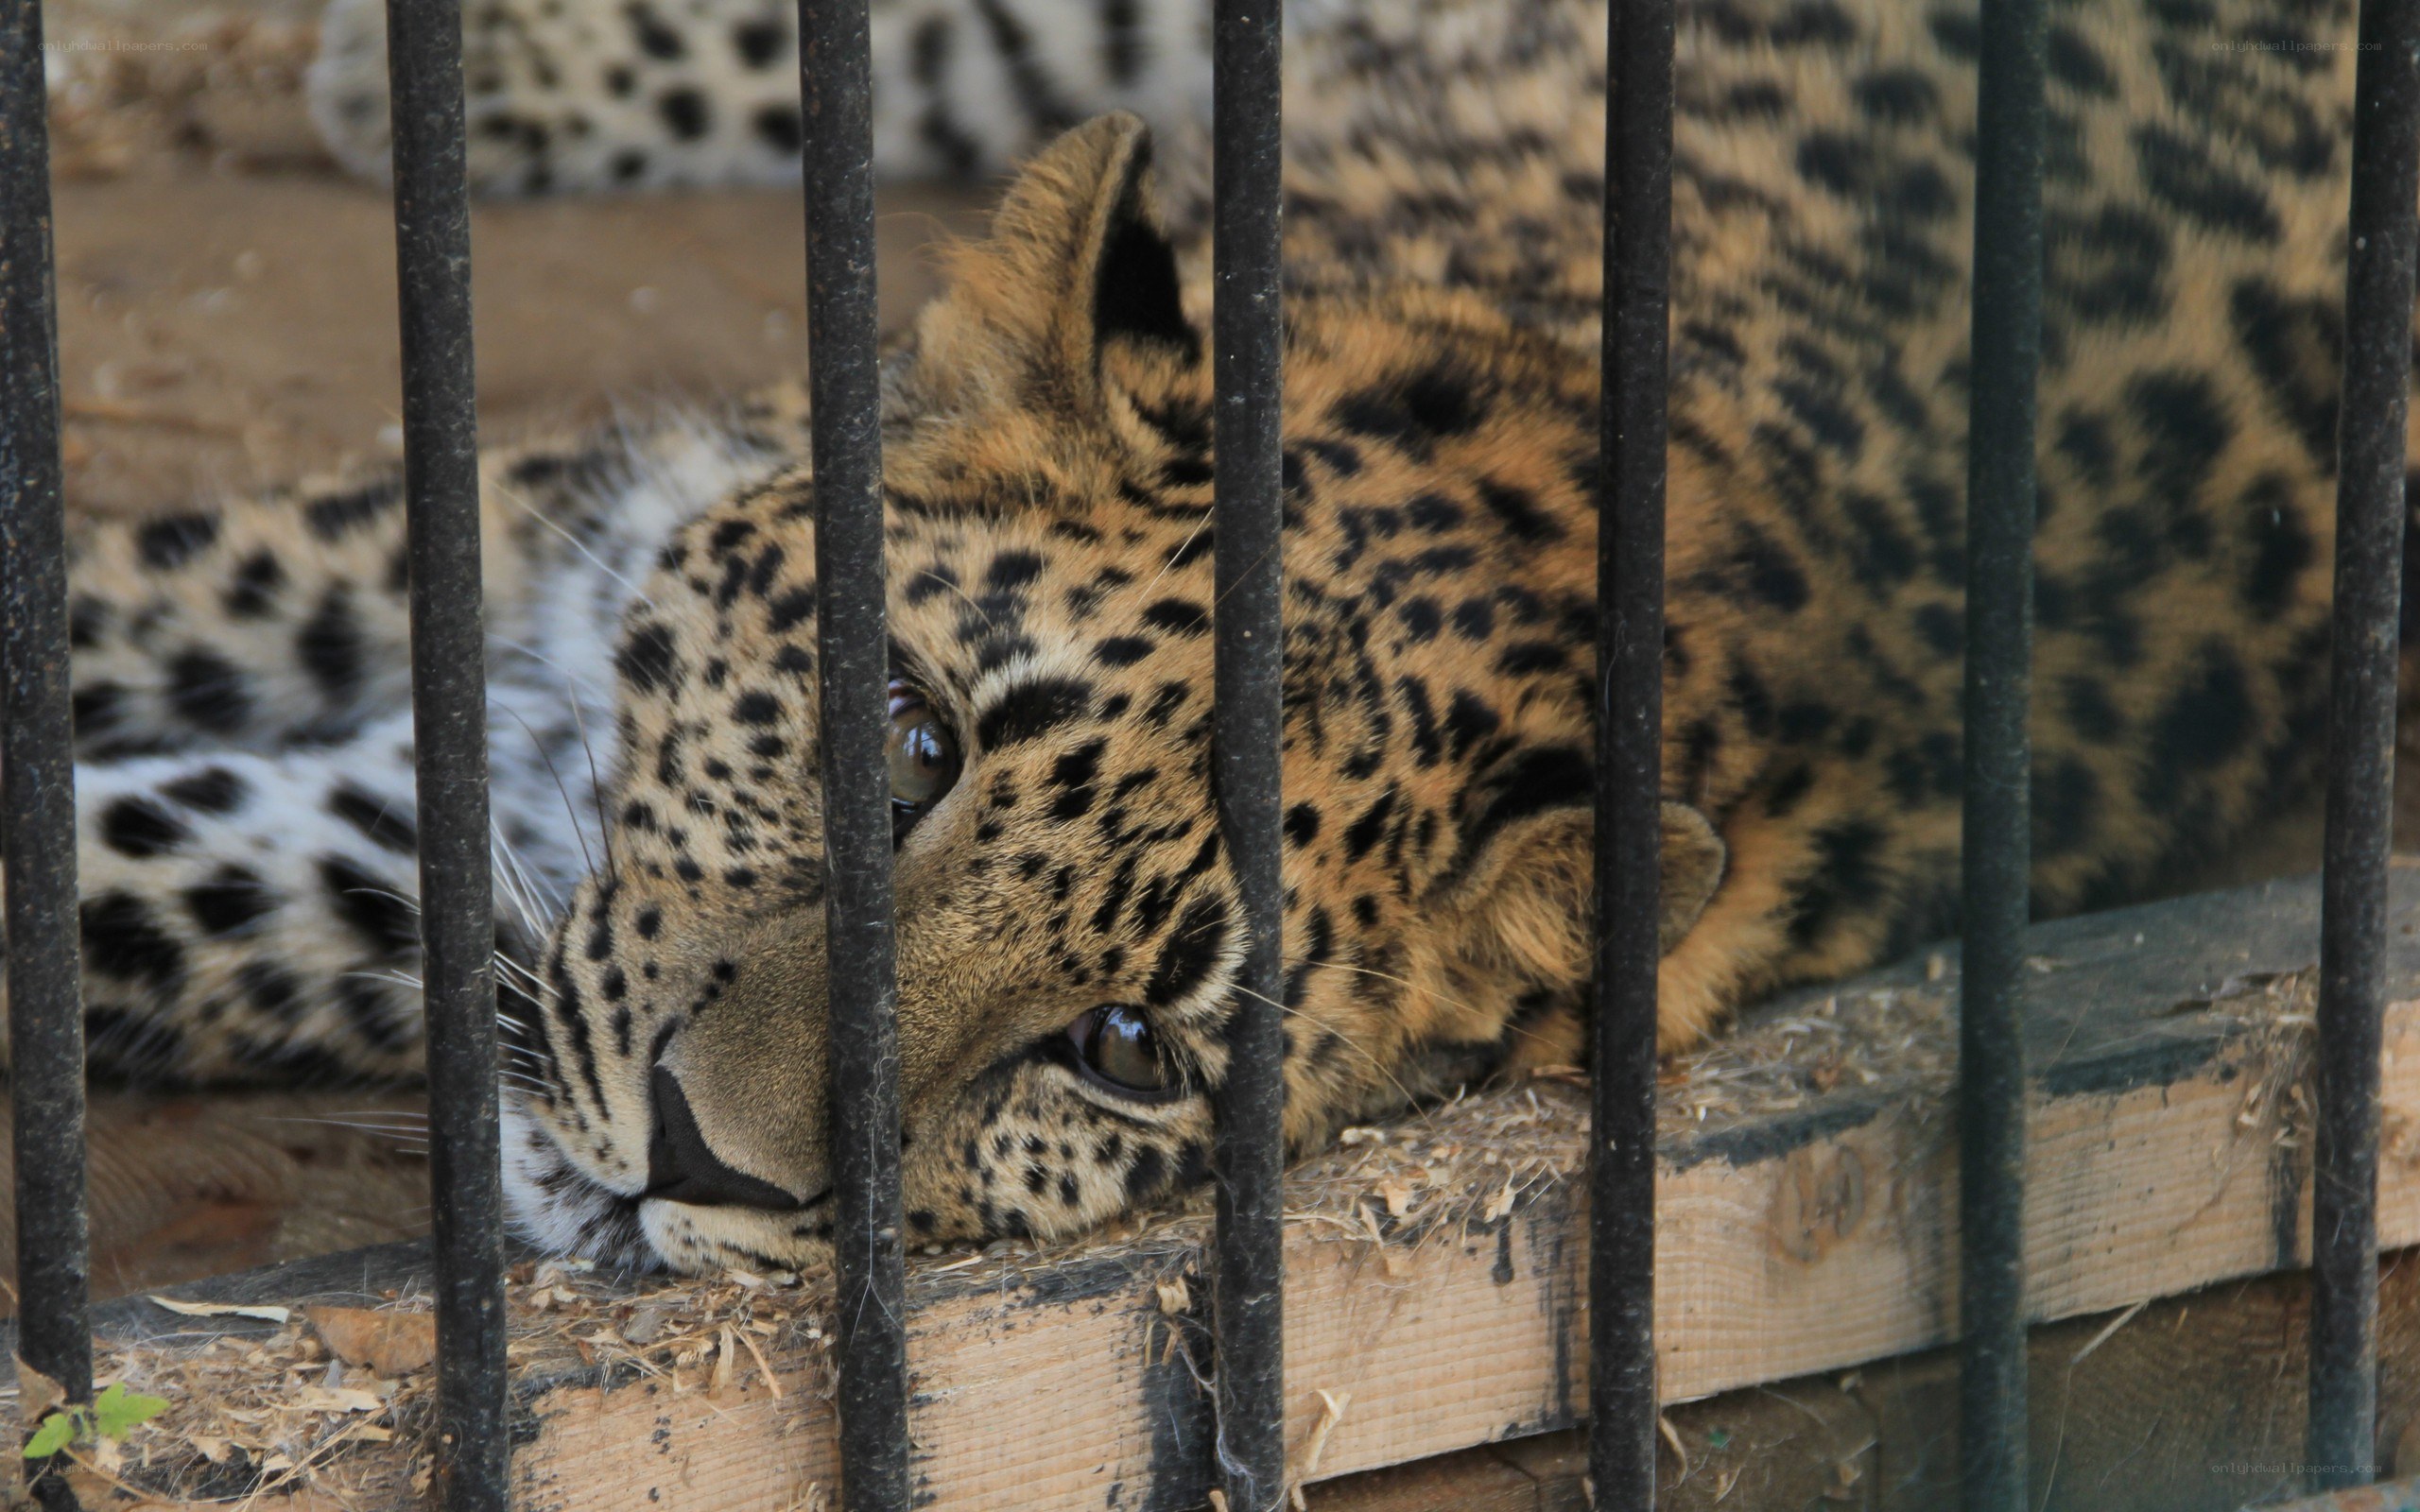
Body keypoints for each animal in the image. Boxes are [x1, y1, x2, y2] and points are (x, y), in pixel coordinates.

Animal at [21, 0, 2396, 1276]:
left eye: (1123, 1049)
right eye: (907, 737)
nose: (699, 1160)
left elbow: (218, 871)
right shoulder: (505, 528)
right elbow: (167, 600)